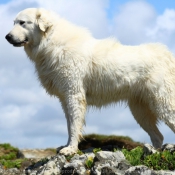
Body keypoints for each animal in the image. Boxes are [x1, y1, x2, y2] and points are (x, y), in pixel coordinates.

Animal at [5, 8, 175, 155]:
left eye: (22, 22)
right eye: (14, 22)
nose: (7, 37)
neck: (51, 42)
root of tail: (167, 55)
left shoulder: (74, 94)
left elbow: (74, 125)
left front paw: (71, 149)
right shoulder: (65, 98)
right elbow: (69, 124)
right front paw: (67, 146)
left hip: (162, 102)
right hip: (140, 110)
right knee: (158, 136)